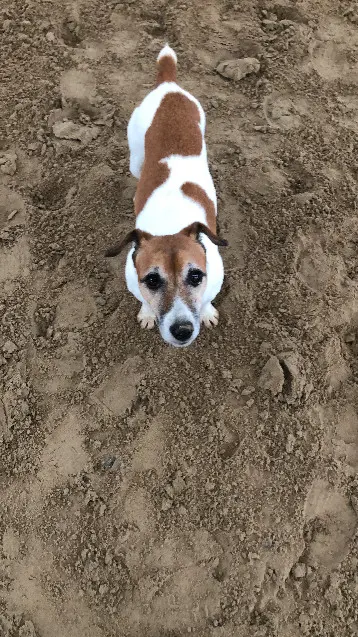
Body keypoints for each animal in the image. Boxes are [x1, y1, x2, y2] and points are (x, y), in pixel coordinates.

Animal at [106, 44, 228, 348]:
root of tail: (168, 85)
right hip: (135, 157)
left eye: (195, 276)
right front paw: (148, 312)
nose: (182, 330)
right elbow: (144, 301)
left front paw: (206, 310)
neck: (171, 224)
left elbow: (207, 299)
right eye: (152, 280)